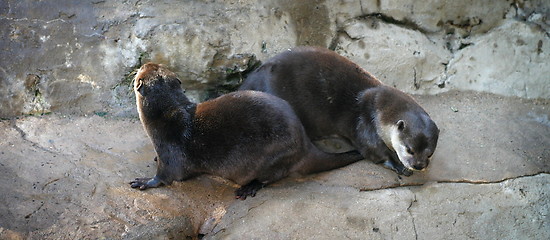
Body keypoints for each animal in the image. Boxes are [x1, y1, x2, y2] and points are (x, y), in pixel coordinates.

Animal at [129, 62, 366, 200]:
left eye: (144, 68)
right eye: (155, 64)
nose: (146, 62)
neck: (168, 114)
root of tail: (305, 144)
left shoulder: (171, 150)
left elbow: (167, 176)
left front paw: (145, 182)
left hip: (275, 156)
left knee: (270, 177)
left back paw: (248, 188)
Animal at [240, 46, 440, 175]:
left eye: (430, 153)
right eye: (409, 150)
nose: (419, 165)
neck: (378, 107)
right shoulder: (364, 124)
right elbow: (373, 150)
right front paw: (397, 166)